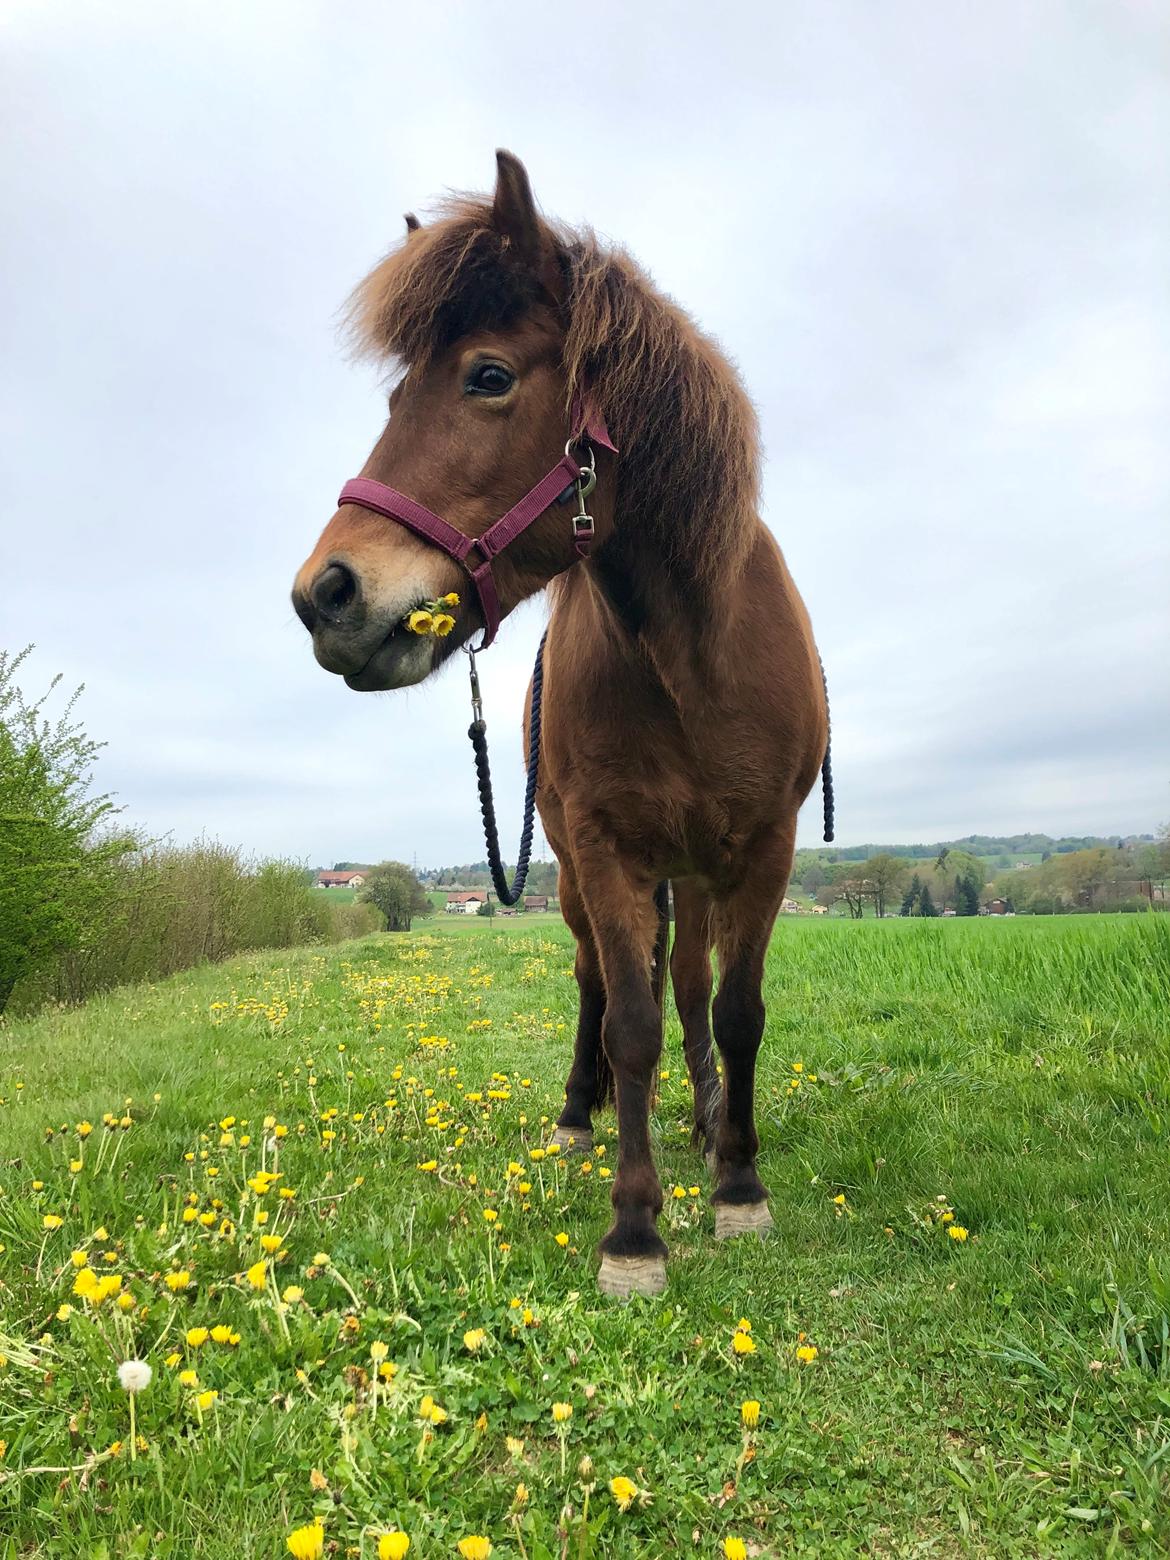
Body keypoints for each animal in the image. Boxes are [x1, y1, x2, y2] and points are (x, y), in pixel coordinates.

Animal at [297, 155, 836, 1304]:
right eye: (397, 394)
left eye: (489, 377)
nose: (326, 594)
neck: (693, 657)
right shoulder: (602, 848)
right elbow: (628, 1021)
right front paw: (635, 1229)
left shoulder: (762, 851)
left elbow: (736, 1012)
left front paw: (737, 1182)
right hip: (589, 881)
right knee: (598, 983)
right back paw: (580, 1117)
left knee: (691, 988)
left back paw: (704, 1117)